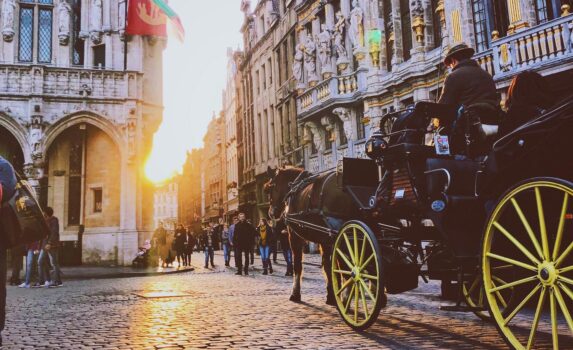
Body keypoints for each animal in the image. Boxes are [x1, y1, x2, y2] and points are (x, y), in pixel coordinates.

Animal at [264, 166, 358, 304]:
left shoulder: (294, 236)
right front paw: (331, 295)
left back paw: (346, 297)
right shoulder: (324, 239)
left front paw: (295, 294)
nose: (271, 213)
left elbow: (298, 265)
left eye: (270, 188)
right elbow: (328, 266)